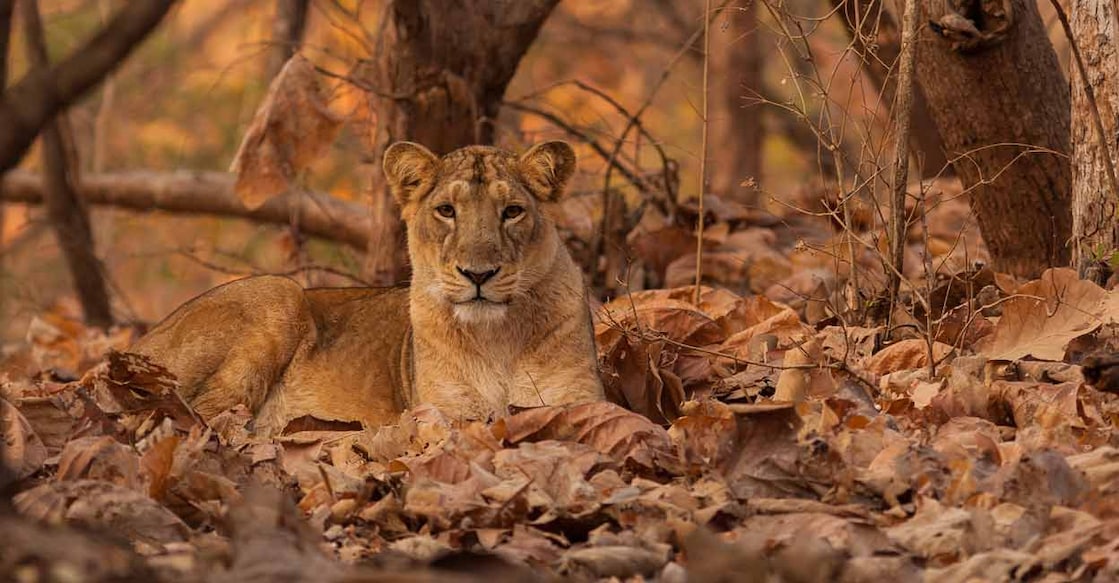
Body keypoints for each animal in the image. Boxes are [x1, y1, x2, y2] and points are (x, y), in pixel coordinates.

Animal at [130, 141, 604, 434]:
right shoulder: (443, 413)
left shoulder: (581, 400)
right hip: (279, 293)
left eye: (512, 211)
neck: (496, 338)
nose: (478, 274)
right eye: (446, 211)